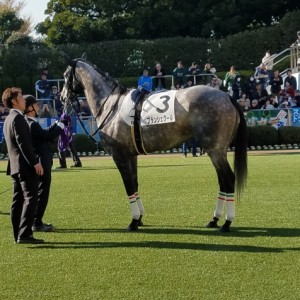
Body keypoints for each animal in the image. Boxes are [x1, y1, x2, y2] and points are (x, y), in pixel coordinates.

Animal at [59, 58, 247, 232]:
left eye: (66, 75)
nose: (62, 97)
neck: (112, 105)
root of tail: (227, 96)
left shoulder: (119, 155)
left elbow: (128, 185)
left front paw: (133, 221)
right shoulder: (131, 156)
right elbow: (135, 184)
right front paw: (140, 218)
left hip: (215, 150)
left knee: (228, 179)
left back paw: (227, 223)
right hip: (218, 151)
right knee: (222, 181)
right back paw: (214, 220)